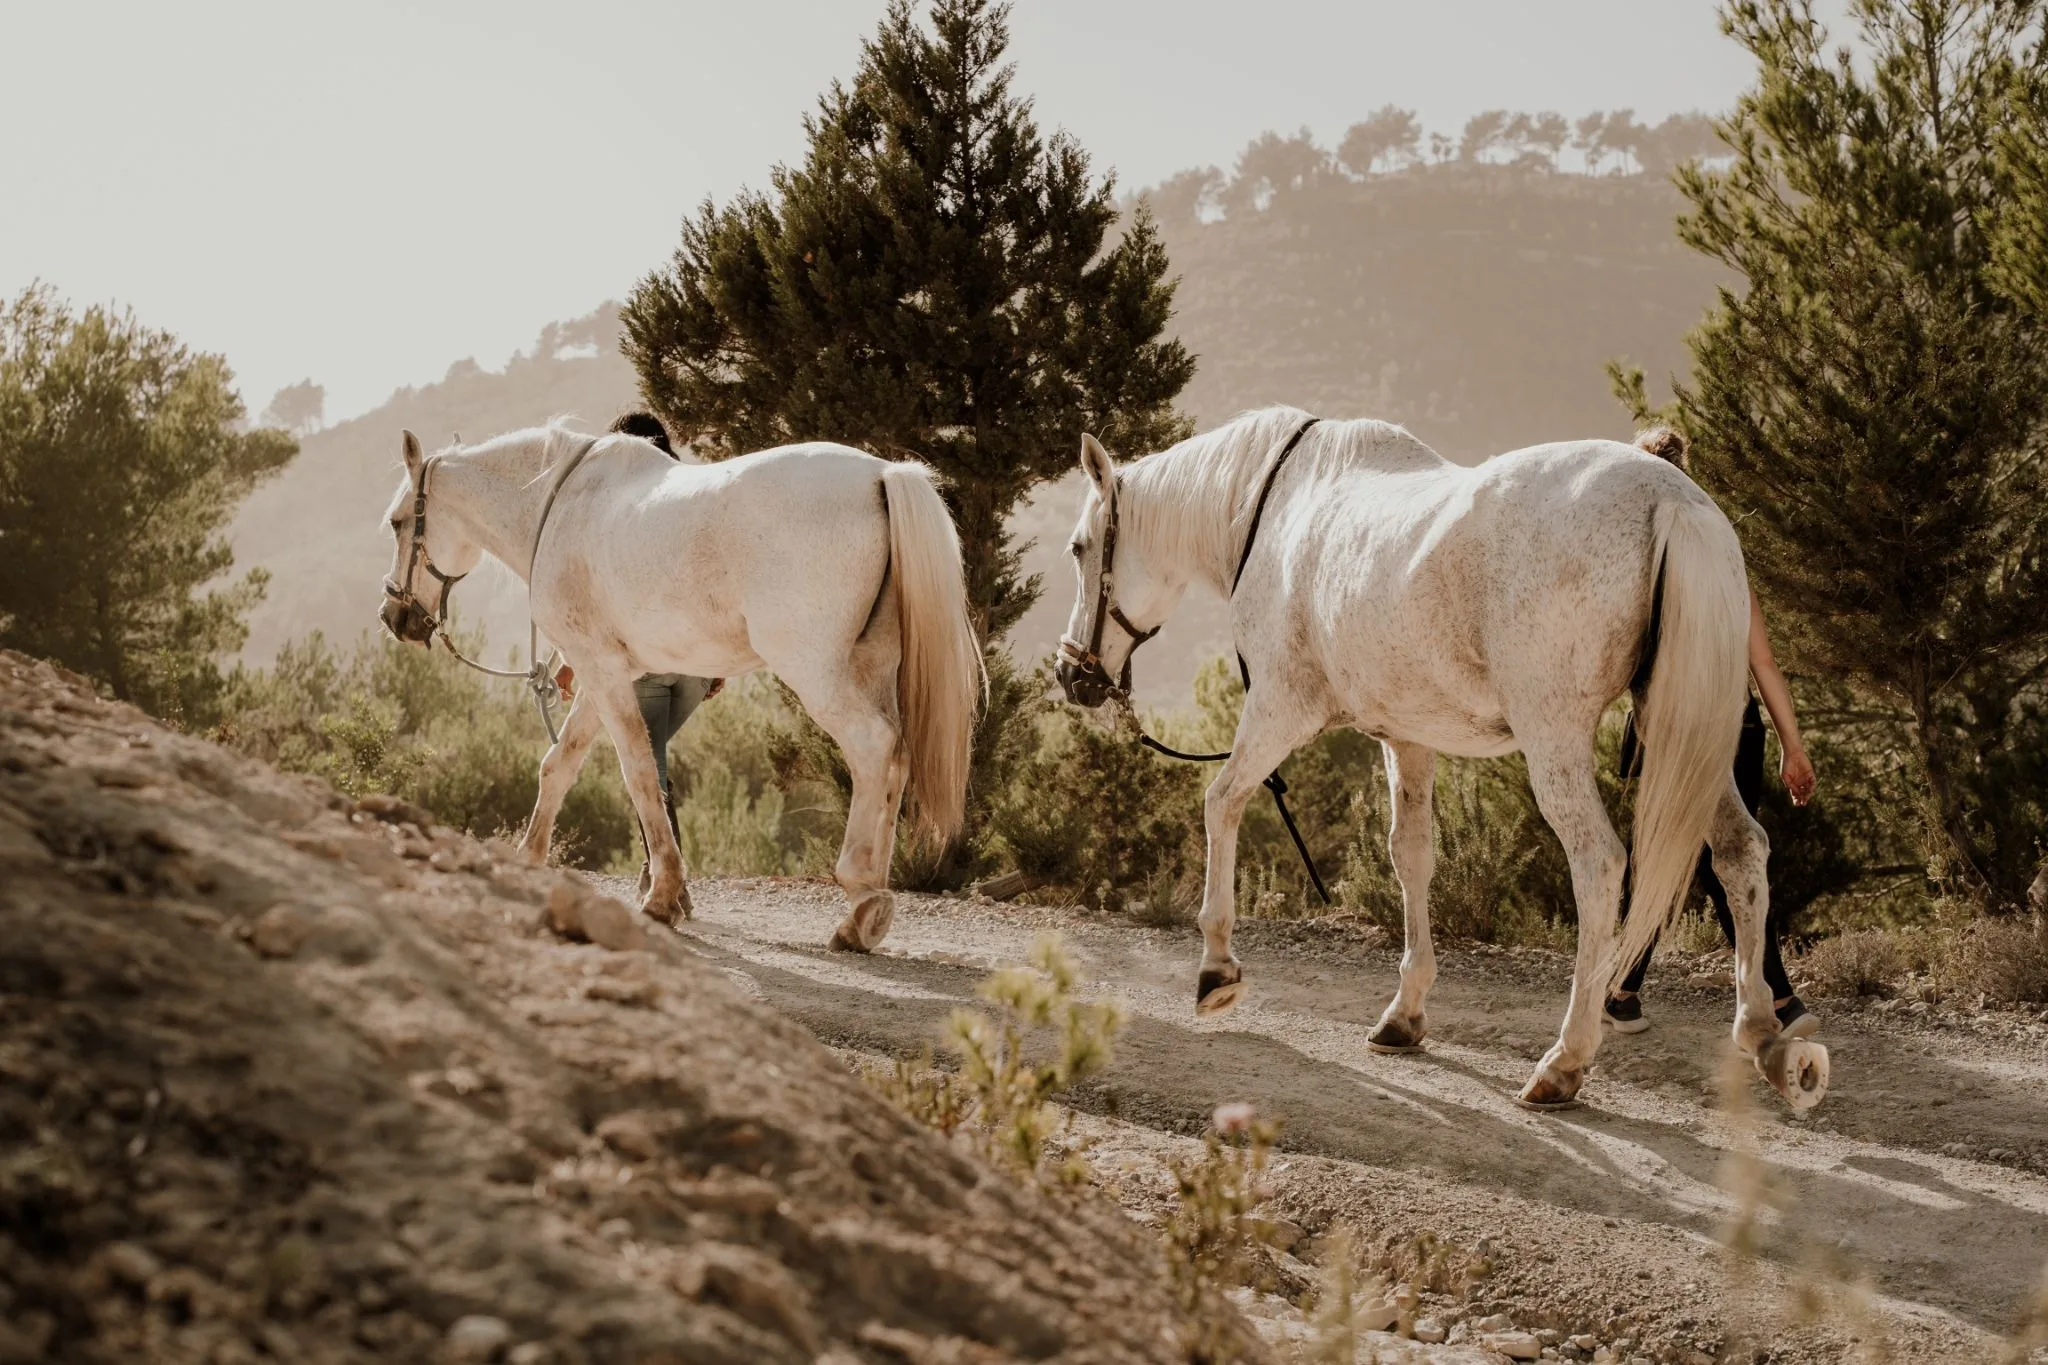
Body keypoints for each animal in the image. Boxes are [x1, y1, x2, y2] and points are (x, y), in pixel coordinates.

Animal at [377, 421, 982, 951]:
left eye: (399, 522)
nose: (394, 617)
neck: (558, 506)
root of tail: (882, 474)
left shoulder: (603, 671)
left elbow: (641, 775)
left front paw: (662, 897)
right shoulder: (602, 674)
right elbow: (560, 765)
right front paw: (528, 861)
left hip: (819, 675)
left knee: (872, 747)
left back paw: (860, 903)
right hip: (873, 667)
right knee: (896, 759)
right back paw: (872, 903)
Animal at [1053, 407, 1828, 1111]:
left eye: (1081, 546)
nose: (1073, 675)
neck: (1272, 510)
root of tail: (1675, 500)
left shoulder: (1280, 707)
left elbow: (1222, 801)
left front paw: (1217, 968)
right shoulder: (1407, 737)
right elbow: (1412, 855)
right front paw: (1406, 1010)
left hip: (1558, 739)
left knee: (1601, 865)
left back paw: (1565, 1060)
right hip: (1687, 739)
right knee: (1740, 852)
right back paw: (1764, 1033)